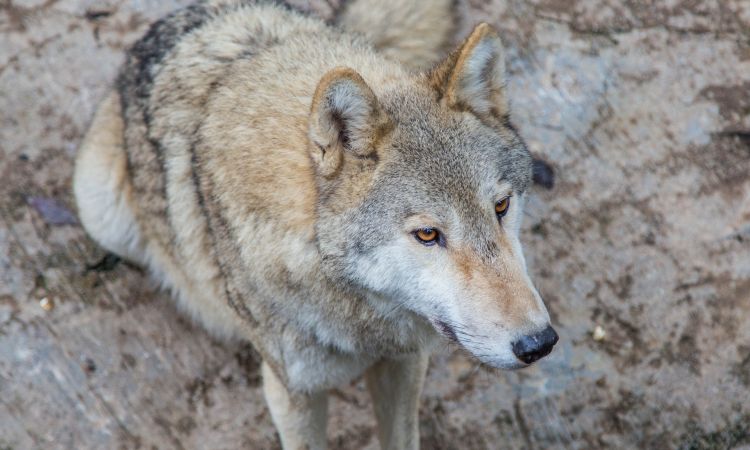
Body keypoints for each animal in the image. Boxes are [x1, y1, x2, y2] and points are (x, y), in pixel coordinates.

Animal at [75, 1, 560, 448]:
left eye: (501, 206)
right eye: (428, 234)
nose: (538, 343)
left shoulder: (404, 362)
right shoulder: (294, 393)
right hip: (99, 206)